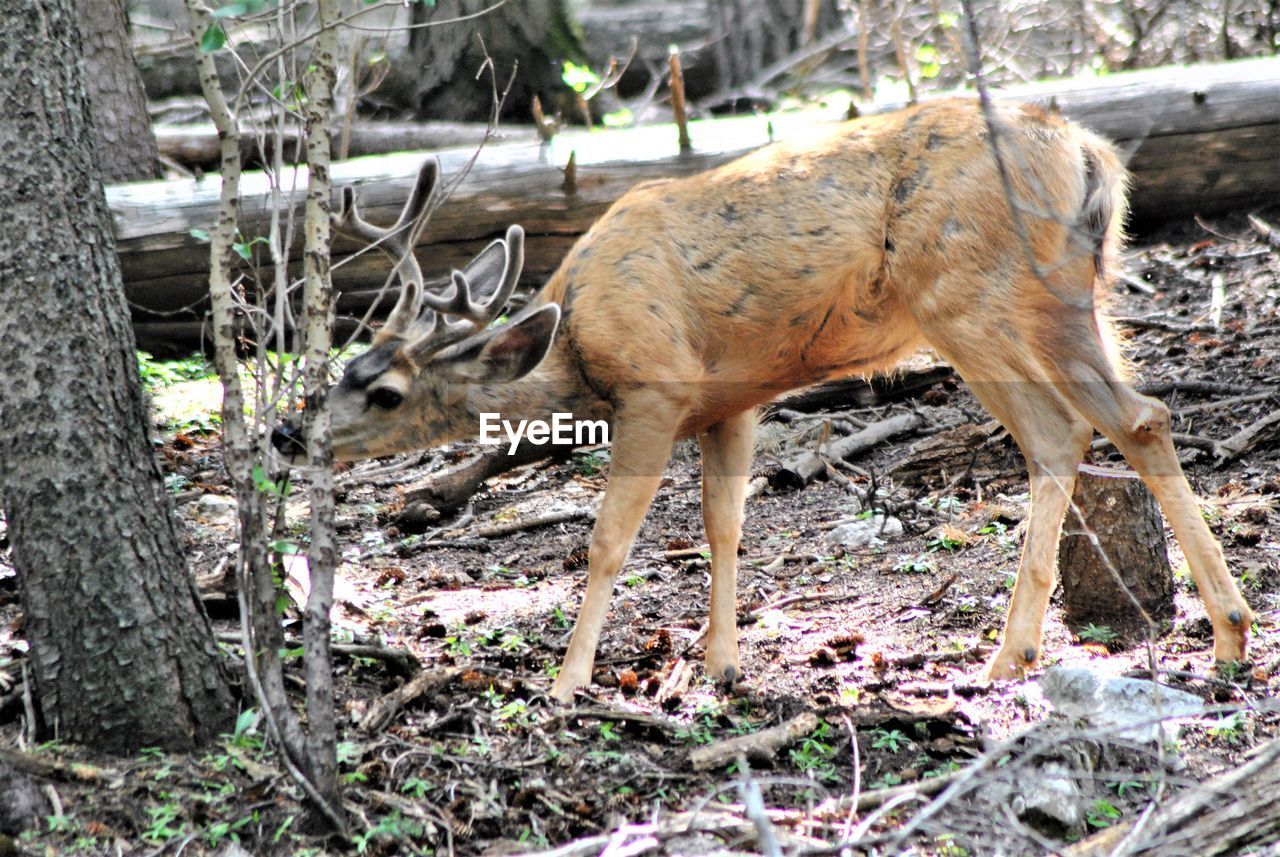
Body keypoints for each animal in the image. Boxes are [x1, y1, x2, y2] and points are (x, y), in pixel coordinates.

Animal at [272, 99, 1259, 706]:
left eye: (386, 391)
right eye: (352, 365)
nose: (286, 430)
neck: (580, 337)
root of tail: (1089, 152)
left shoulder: (657, 385)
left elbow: (608, 539)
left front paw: (567, 681)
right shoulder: (731, 400)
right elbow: (725, 526)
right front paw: (721, 665)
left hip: (969, 295)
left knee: (1061, 432)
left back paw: (1013, 651)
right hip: (1071, 290)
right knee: (1141, 415)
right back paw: (1228, 633)